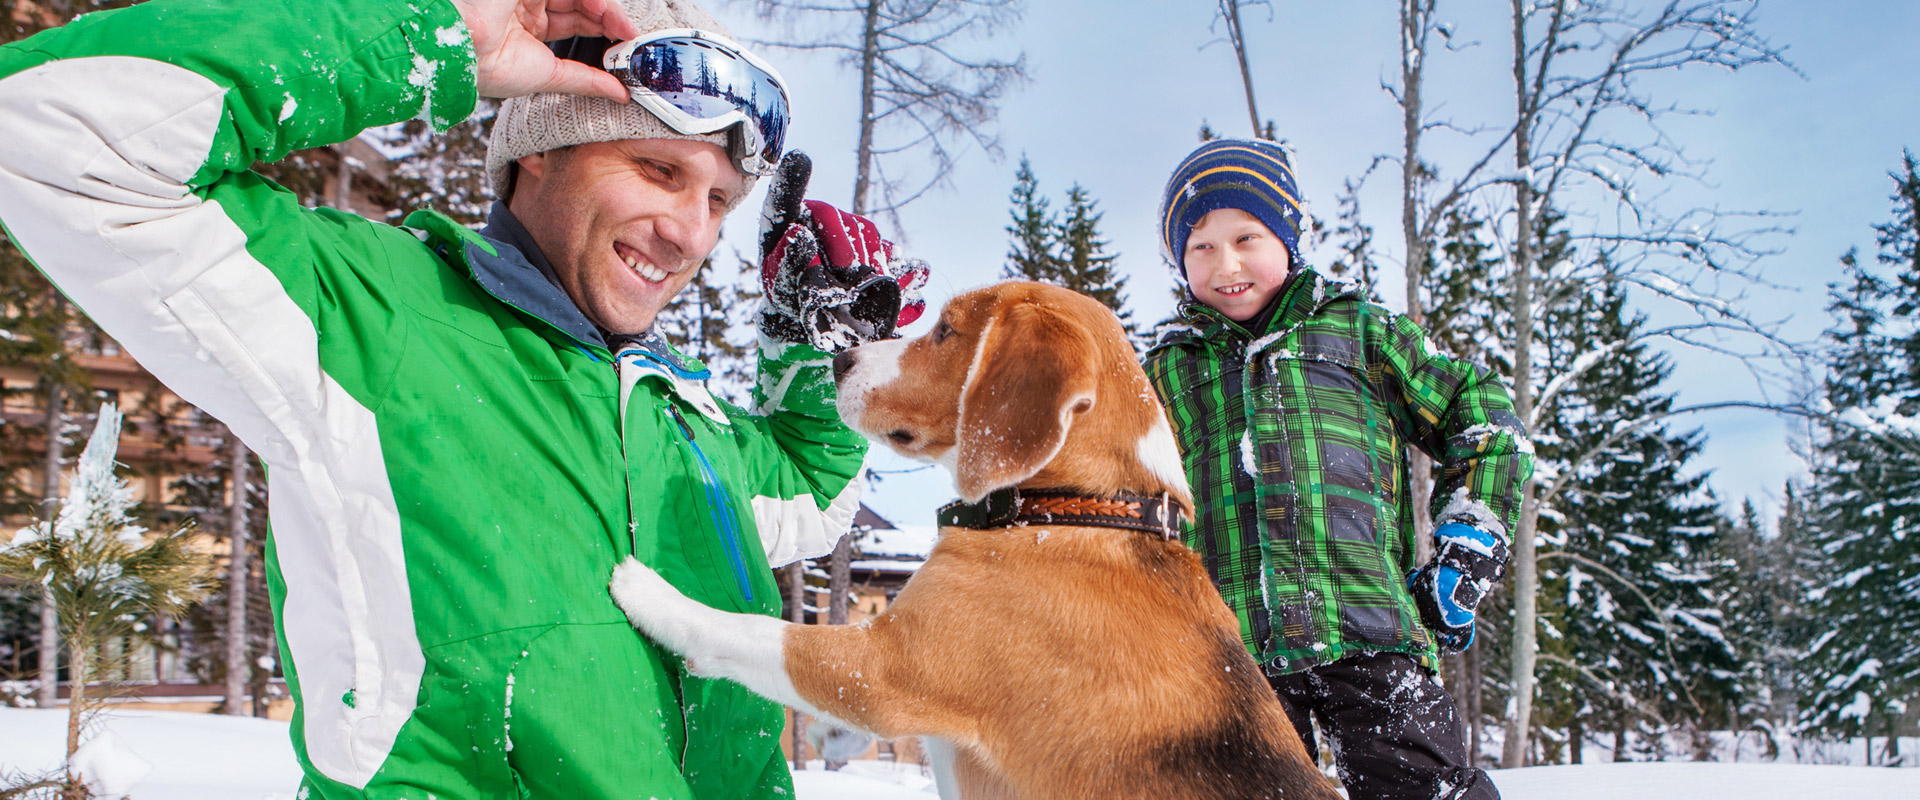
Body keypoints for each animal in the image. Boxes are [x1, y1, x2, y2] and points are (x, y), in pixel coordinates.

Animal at [610, 282, 1336, 798]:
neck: (1075, 511)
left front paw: (651, 594)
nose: (841, 358)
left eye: (945, 330)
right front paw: (829, 737)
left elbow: (755, 632)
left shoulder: (883, 667)